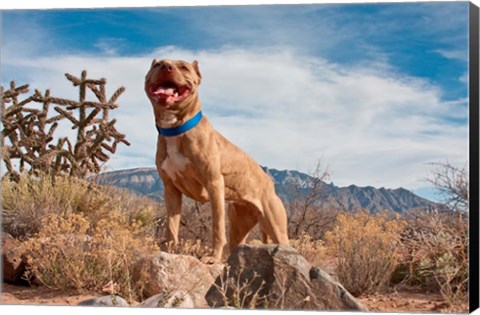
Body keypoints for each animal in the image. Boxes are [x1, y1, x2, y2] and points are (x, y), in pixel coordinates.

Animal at [144, 59, 288, 264]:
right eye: (158, 65)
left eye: (184, 67)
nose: (166, 67)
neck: (175, 128)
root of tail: (269, 183)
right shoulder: (171, 189)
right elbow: (171, 227)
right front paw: (169, 252)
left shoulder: (214, 184)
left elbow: (217, 229)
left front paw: (213, 258)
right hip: (239, 224)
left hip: (276, 227)